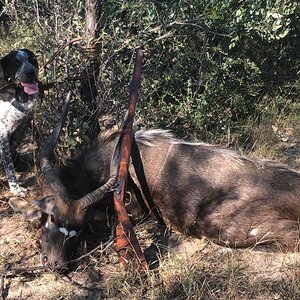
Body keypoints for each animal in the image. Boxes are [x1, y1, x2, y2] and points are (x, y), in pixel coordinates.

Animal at [0, 49, 39, 197]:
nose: (30, 72)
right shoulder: (3, 135)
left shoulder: (30, 120)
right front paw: (15, 189)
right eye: (16, 63)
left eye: (33, 59)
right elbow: (9, 166)